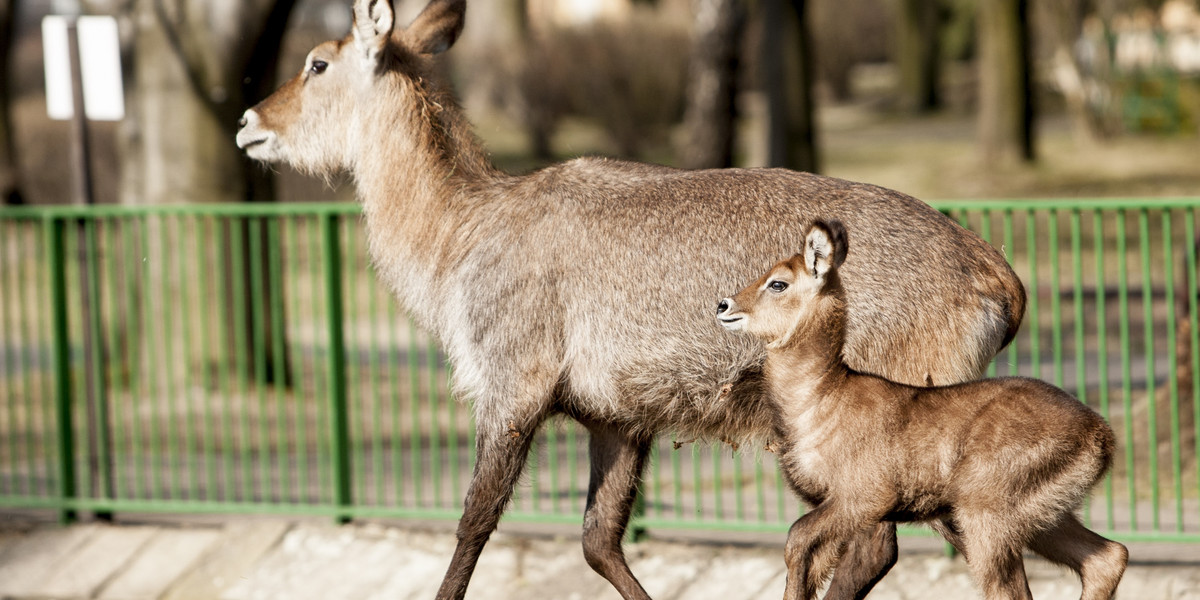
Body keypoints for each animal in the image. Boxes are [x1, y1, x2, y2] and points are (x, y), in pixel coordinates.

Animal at [238, 2, 1027, 597]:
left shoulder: (512, 384)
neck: (458, 232)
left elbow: (474, 522)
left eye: (316, 62)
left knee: (887, 550)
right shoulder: (614, 417)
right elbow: (599, 540)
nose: (249, 121)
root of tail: (995, 272)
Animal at [710, 219, 1123, 600]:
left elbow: (796, 538)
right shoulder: (835, 506)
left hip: (987, 516)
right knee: (1108, 557)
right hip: (1044, 516)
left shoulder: (864, 498)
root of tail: (1100, 434)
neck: (822, 397)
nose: (724, 305)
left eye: (778, 283)